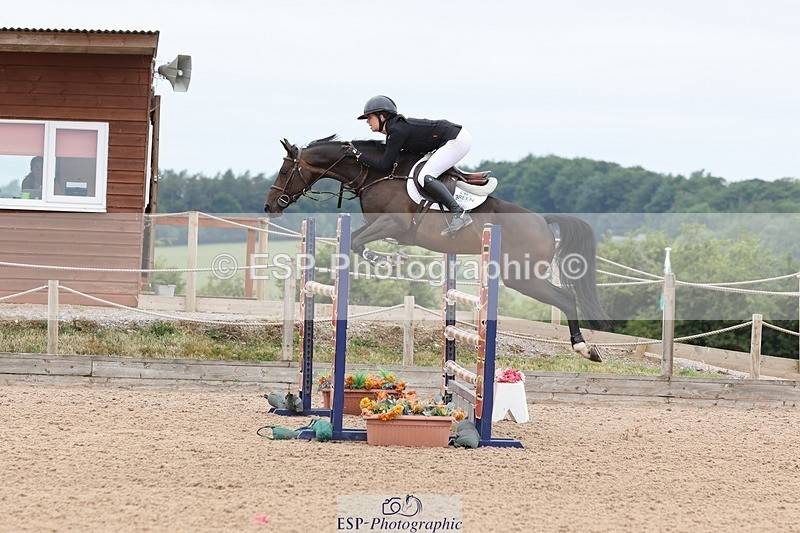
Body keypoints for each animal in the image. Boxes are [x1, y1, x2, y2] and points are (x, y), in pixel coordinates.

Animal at [264, 135, 610, 361]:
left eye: (284, 170)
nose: (270, 206)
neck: (377, 173)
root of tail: (543, 220)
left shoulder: (395, 224)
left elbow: (357, 242)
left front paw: (386, 260)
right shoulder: (383, 225)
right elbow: (353, 241)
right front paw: (386, 259)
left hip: (522, 276)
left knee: (565, 298)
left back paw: (584, 347)